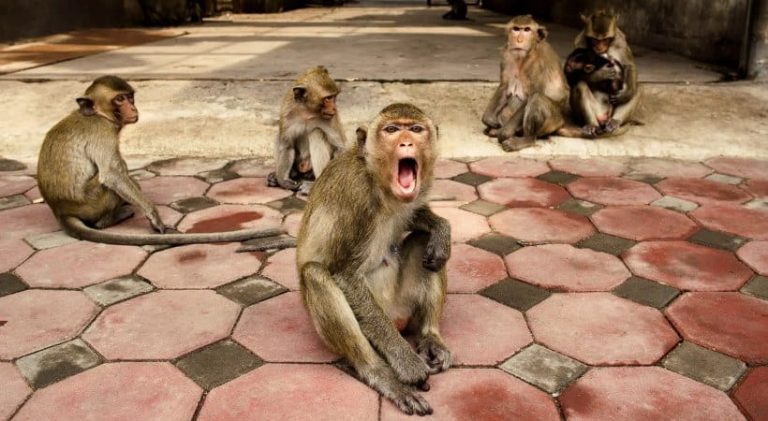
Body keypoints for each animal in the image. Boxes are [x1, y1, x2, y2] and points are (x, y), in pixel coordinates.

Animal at [37, 75, 283, 246]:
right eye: (119, 99)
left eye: (130, 97)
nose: (133, 107)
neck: (97, 115)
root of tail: (60, 211)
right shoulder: (103, 131)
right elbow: (112, 174)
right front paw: (153, 216)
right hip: (94, 202)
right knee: (114, 177)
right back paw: (111, 218)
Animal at [267, 66, 347, 195]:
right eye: (328, 98)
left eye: (334, 97)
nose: (334, 108)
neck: (307, 112)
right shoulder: (286, 112)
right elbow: (287, 146)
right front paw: (283, 181)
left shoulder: (331, 119)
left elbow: (340, 148)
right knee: (278, 135)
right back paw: (282, 176)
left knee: (316, 133)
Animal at [297, 103, 452, 416]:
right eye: (391, 130)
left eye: (415, 129)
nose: (406, 143)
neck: (377, 181)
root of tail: (395, 319)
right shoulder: (354, 195)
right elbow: (344, 274)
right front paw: (406, 363)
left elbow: (417, 221)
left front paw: (441, 228)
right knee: (315, 274)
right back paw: (379, 373)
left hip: (403, 304)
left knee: (425, 245)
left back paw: (430, 335)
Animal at [481, 15, 569, 152]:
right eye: (516, 29)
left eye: (527, 29)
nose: (519, 40)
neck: (526, 55)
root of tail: (561, 123)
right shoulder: (506, 54)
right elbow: (505, 86)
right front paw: (488, 119)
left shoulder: (539, 64)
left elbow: (531, 94)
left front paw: (505, 132)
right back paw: (495, 131)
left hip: (553, 122)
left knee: (537, 98)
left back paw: (526, 139)